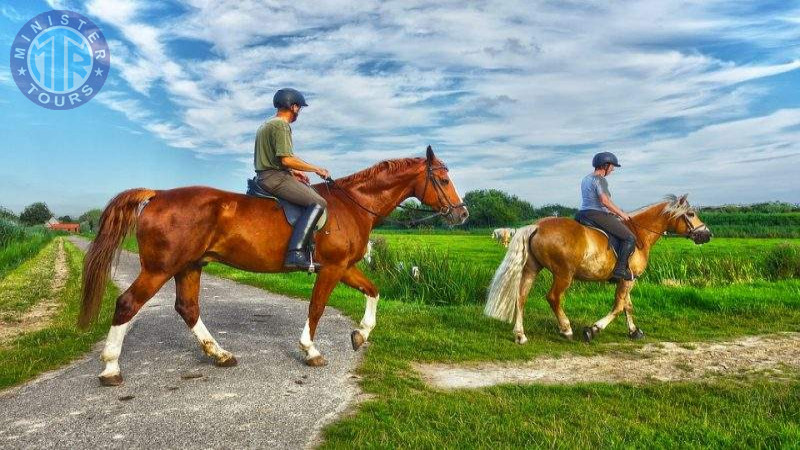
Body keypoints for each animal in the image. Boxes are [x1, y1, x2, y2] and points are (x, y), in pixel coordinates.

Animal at [79, 146, 468, 384]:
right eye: (443, 179)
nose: (462, 214)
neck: (352, 205)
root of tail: (157, 194)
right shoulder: (332, 268)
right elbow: (317, 307)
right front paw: (311, 351)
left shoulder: (344, 267)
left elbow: (374, 290)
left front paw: (360, 334)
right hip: (160, 269)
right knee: (127, 304)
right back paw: (110, 368)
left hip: (190, 266)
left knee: (187, 307)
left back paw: (220, 354)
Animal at [484, 194, 708, 344]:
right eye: (691, 214)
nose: (707, 234)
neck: (639, 235)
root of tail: (537, 226)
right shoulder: (628, 279)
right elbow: (618, 306)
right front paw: (593, 329)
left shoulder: (628, 279)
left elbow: (627, 306)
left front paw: (634, 331)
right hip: (563, 274)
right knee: (553, 298)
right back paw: (566, 329)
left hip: (532, 269)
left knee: (521, 297)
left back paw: (520, 335)